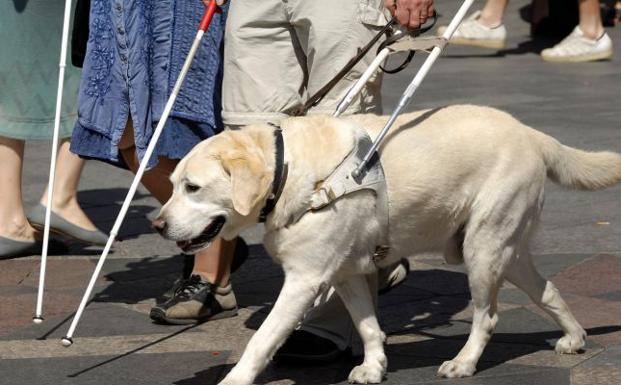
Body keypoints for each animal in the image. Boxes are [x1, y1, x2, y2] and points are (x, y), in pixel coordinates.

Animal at [154, 105, 620, 384]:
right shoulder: (346, 273)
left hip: (483, 249)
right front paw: (374, 365)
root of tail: (531, 132)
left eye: (193, 187)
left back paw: (465, 362)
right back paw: (574, 338)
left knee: (487, 317)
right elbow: (367, 324)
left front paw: (235, 379)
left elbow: (263, 339)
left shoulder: (305, 279)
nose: (157, 224)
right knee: (549, 290)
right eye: (173, 185)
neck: (291, 172)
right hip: (507, 249)